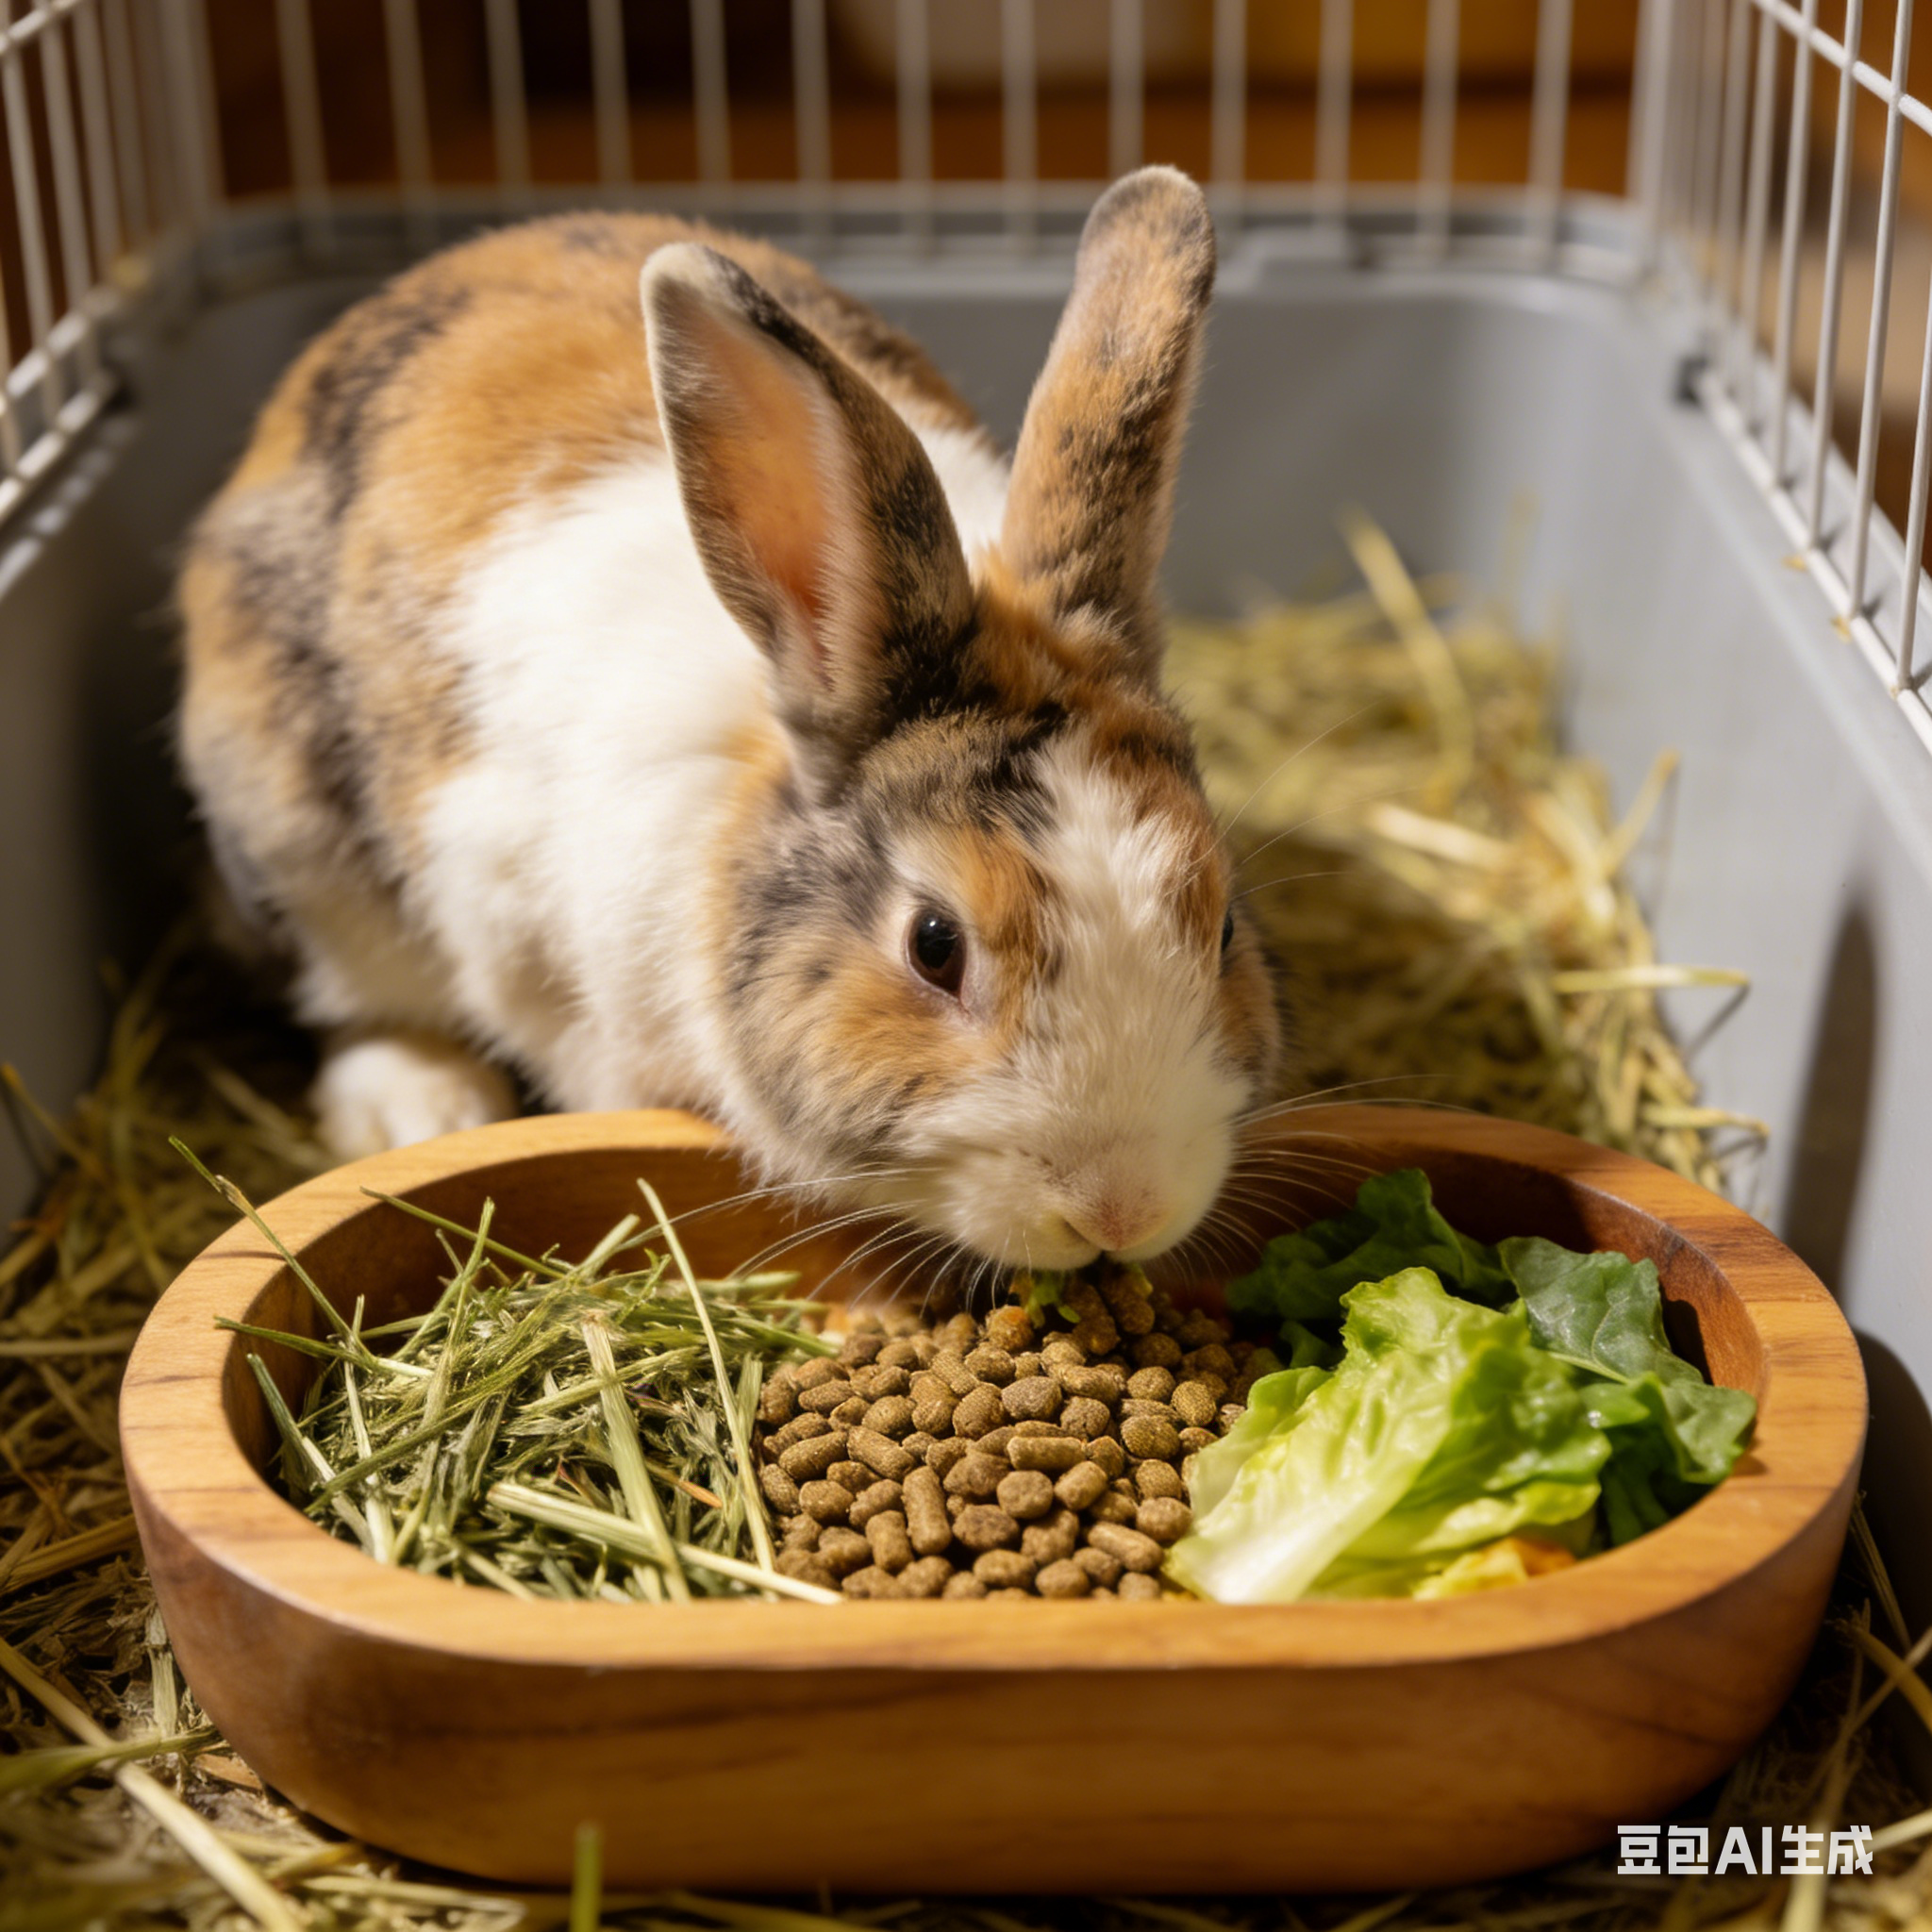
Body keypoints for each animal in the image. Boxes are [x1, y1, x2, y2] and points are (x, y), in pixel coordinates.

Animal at [176, 166, 1284, 1274]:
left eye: (1225, 921)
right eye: (934, 946)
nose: (1121, 1213)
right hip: (298, 848)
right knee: (349, 996)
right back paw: (427, 1103)